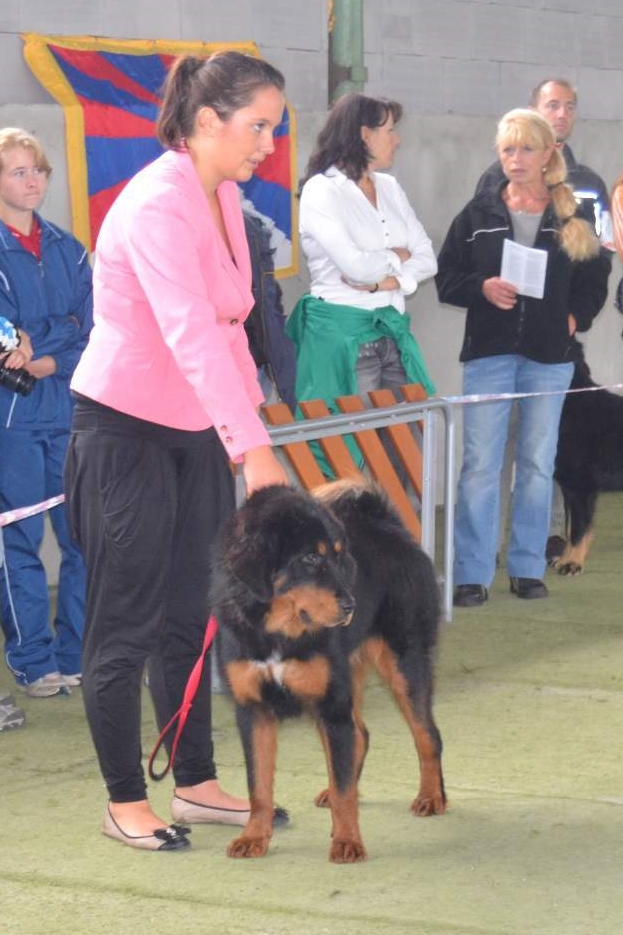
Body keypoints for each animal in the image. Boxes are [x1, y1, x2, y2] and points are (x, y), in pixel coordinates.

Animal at [212, 482, 446, 864]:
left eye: (339, 558)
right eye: (310, 558)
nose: (351, 604)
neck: (278, 632)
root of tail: (390, 526)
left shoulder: (330, 706)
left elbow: (344, 791)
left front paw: (348, 841)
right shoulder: (254, 711)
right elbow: (258, 787)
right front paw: (255, 837)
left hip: (403, 665)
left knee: (427, 736)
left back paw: (431, 796)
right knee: (361, 736)